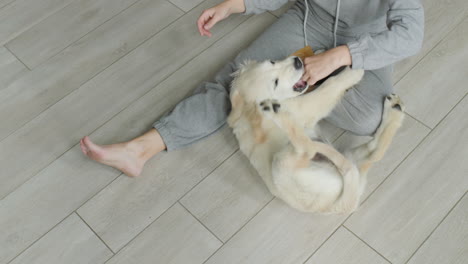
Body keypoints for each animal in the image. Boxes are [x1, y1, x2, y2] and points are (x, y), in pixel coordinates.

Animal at [229, 56, 404, 213]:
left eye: (271, 62)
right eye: (275, 82)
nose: (297, 62)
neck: (247, 110)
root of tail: (338, 206)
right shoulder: (304, 106)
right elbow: (328, 85)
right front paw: (353, 70)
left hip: (351, 158)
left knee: (373, 152)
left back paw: (395, 109)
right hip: (283, 164)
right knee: (313, 152)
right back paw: (277, 113)